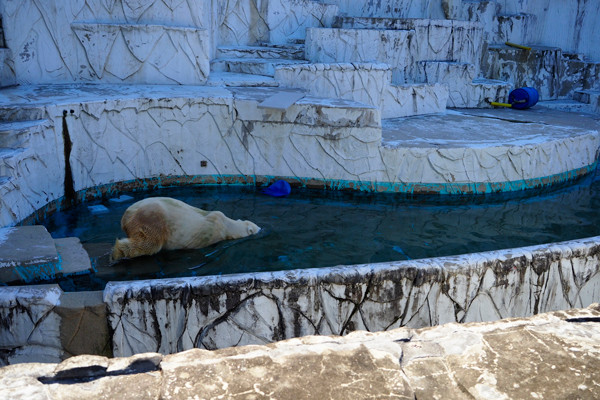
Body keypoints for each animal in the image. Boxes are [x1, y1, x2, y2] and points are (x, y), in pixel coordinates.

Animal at [110, 198, 260, 260]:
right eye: (255, 228)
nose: (260, 228)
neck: (227, 225)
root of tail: (125, 218)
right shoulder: (210, 232)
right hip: (151, 218)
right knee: (149, 243)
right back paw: (117, 253)